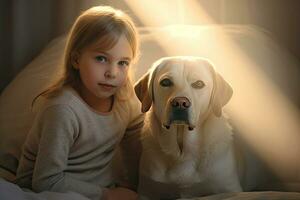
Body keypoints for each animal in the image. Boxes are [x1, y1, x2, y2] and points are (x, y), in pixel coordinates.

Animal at [135, 55, 243, 198]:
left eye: (199, 84)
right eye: (165, 82)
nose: (180, 103)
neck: (182, 150)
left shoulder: (231, 188)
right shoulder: (147, 190)